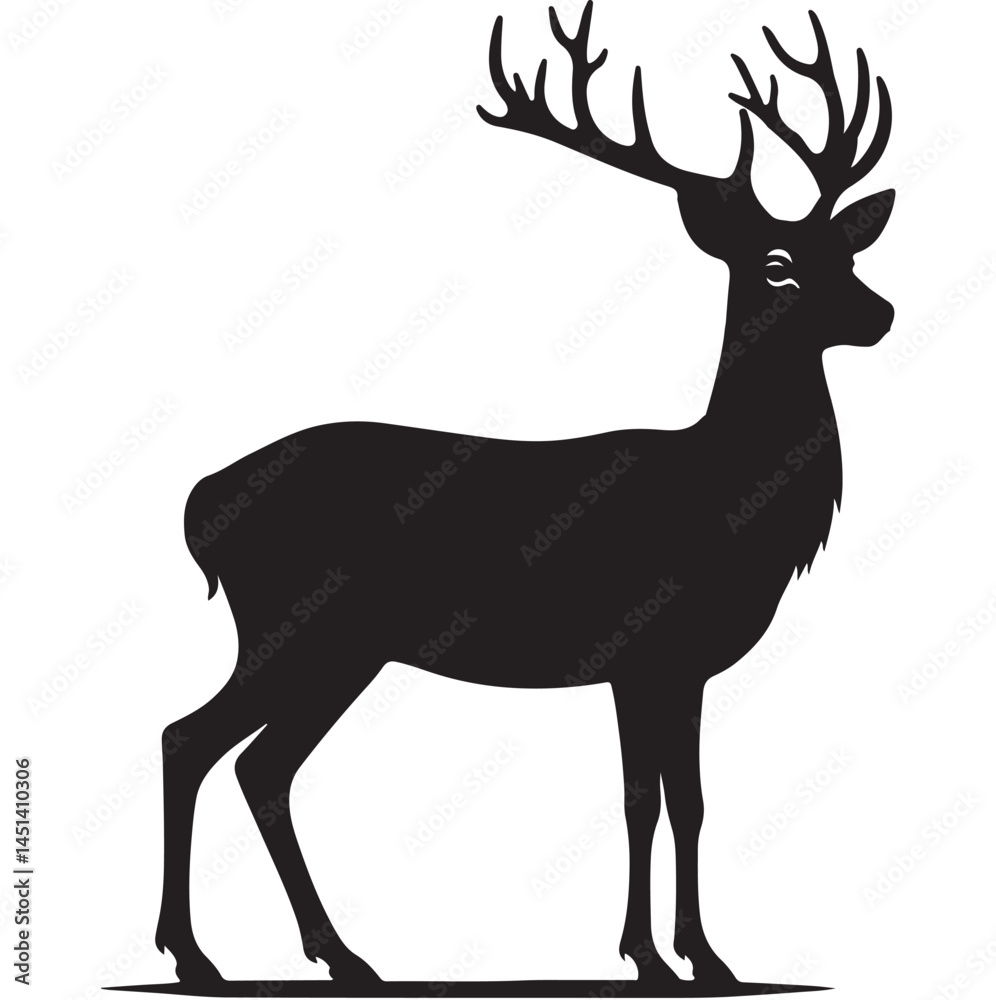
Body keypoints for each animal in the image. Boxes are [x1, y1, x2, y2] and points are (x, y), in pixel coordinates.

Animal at [154, 3, 894, 992]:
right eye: (777, 262)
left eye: (845, 250)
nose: (882, 314)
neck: (731, 501)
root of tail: (201, 504)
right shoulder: (644, 650)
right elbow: (643, 800)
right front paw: (652, 957)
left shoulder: (683, 665)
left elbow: (690, 802)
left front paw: (706, 957)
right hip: (303, 626)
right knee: (195, 740)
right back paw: (202, 955)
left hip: (337, 646)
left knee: (257, 765)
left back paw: (335, 954)